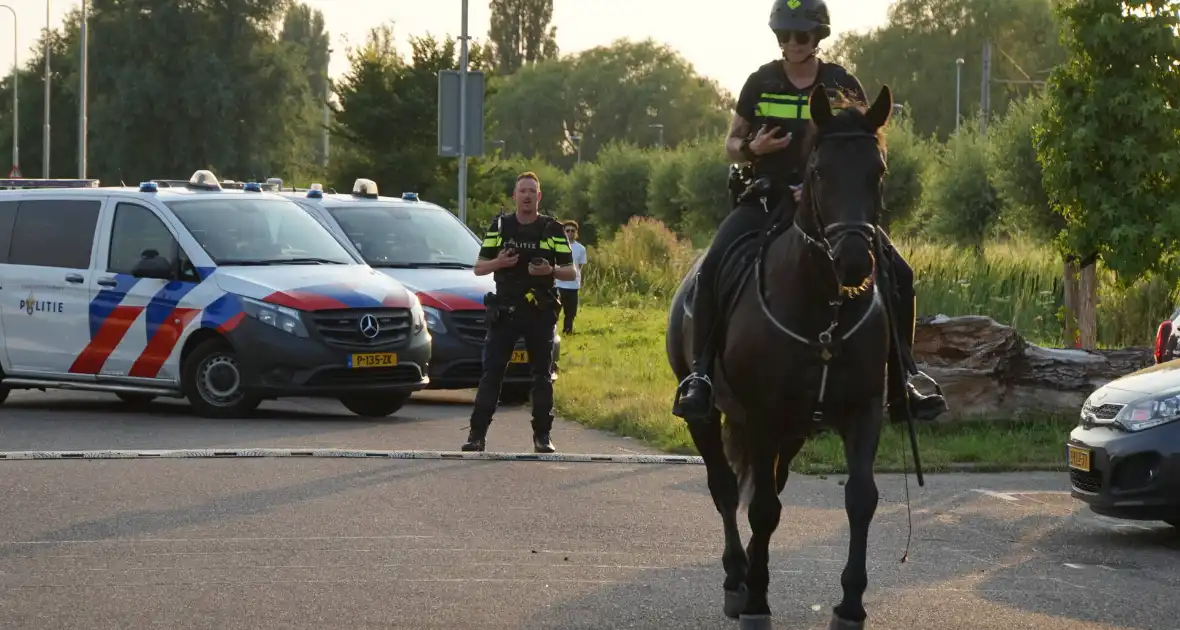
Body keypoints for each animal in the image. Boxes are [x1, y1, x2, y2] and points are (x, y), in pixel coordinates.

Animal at [665, 83, 920, 630]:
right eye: (819, 170)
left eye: (879, 170)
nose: (854, 260)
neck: (823, 310)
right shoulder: (764, 416)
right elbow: (760, 508)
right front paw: (757, 602)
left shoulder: (862, 410)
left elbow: (860, 498)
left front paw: (850, 605)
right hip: (708, 415)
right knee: (724, 488)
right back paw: (737, 580)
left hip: (795, 430)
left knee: (773, 487)